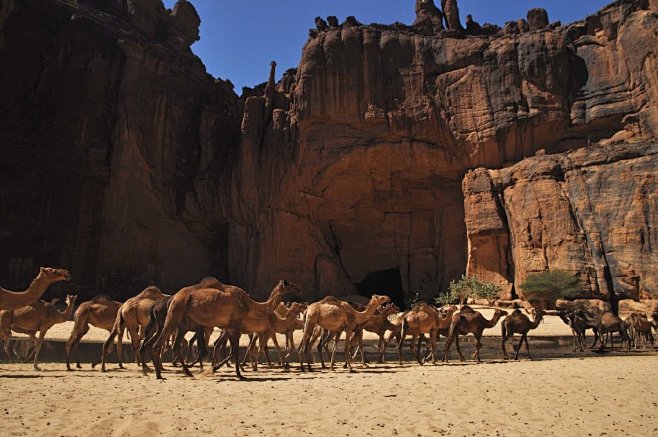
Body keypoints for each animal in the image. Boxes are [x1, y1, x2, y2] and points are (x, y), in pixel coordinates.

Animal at [154, 280, 298, 378]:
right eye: (290, 285)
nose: (299, 289)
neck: (251, 304)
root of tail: (173, 297)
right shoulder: (236, 325)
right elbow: (235, 351)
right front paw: (239, 375)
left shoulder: (229, 327)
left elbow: (229, 350)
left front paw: (216, 368)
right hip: (175, 312)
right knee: (158, 344)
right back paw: (159, 374)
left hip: (183, 322)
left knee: (175, 346)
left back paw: (187, 372)